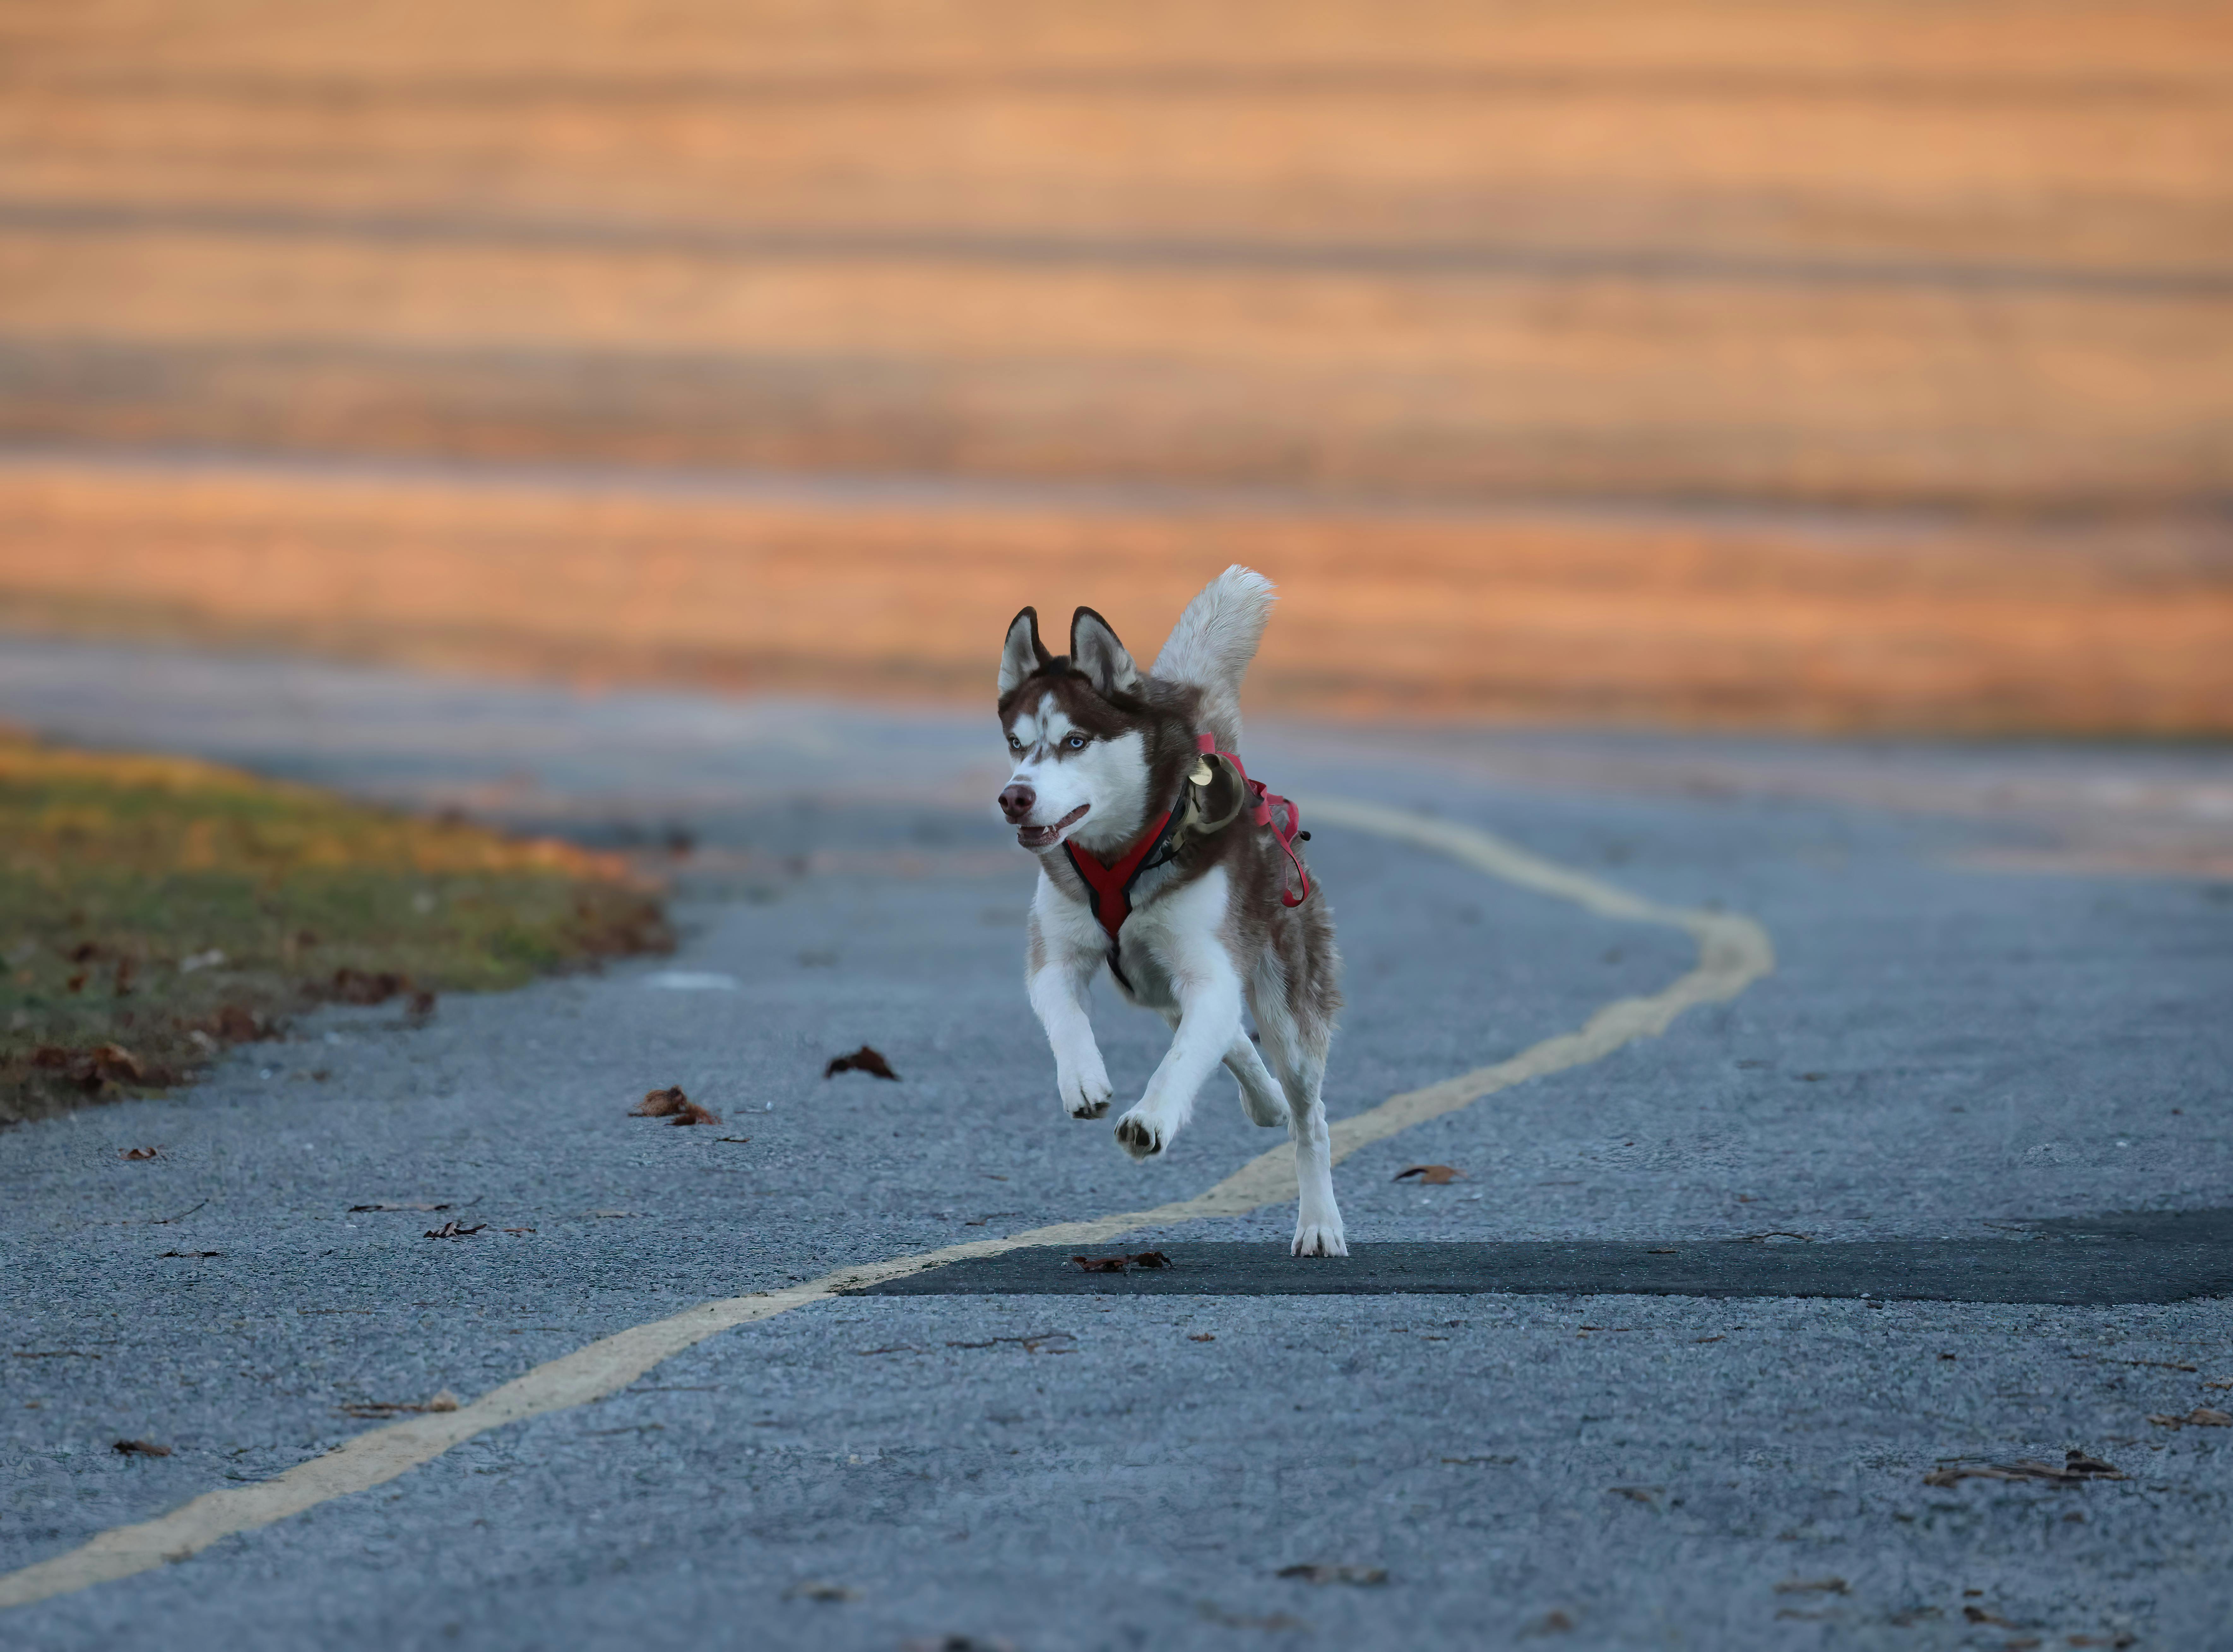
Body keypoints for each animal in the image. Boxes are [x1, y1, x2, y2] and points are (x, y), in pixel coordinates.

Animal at [996, 565, 1340, 1250]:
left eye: (1075, 741)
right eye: (1017, 744)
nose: (1013, 798)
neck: (1122, 854)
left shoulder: (1208, 971)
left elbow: (1182, 1061)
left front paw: (1150, 1119)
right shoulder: (1056, 956)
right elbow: (1064, 1015)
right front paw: (1083, 1078)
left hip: (1286, 1007)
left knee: (1307, 1116)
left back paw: (1318, 1220)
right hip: (1155, 985)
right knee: (1228, 1036)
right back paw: (1265, 1100)